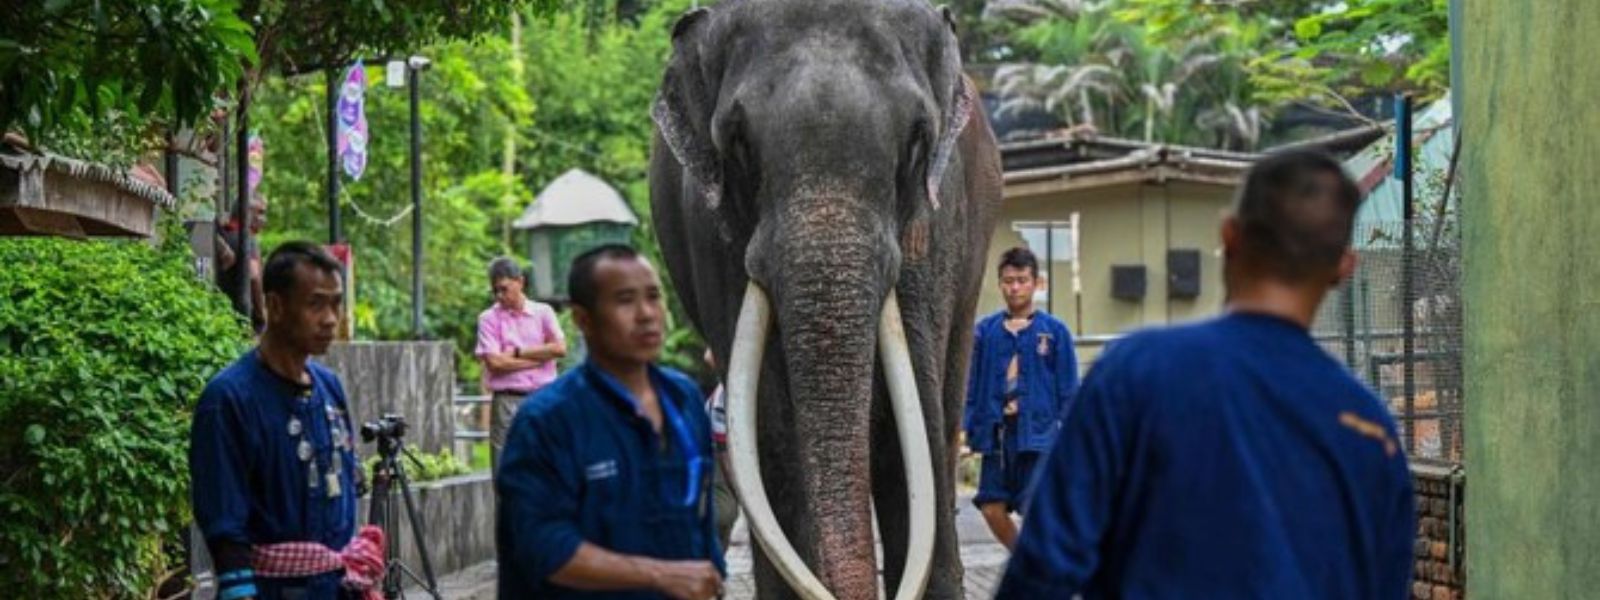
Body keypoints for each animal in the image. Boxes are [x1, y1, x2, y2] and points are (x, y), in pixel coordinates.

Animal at [646, 2, 998, 598]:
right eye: (737, 141)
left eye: (917, 137)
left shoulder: (934, 222)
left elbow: (912, 423)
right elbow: (770, 429)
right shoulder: (712, 235)